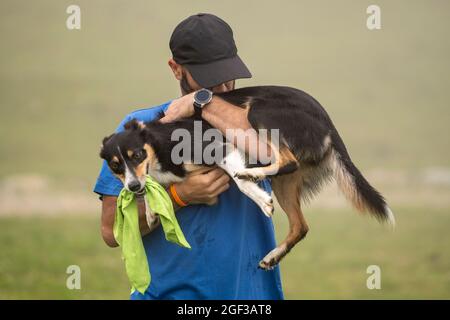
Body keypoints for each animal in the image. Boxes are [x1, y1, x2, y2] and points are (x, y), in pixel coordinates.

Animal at [99, 85, 394, 270]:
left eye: (137, 154)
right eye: (115, 166)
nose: (132, 185)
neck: (158, 143)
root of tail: (328, 122)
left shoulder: (218, 146)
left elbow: (238, 181)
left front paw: (259, 198)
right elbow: (151, 189)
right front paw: (149, 210)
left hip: (259, 112)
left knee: (285, 162)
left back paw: (251, 173)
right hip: (285, 184)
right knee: (300, 225)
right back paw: (273, 256)